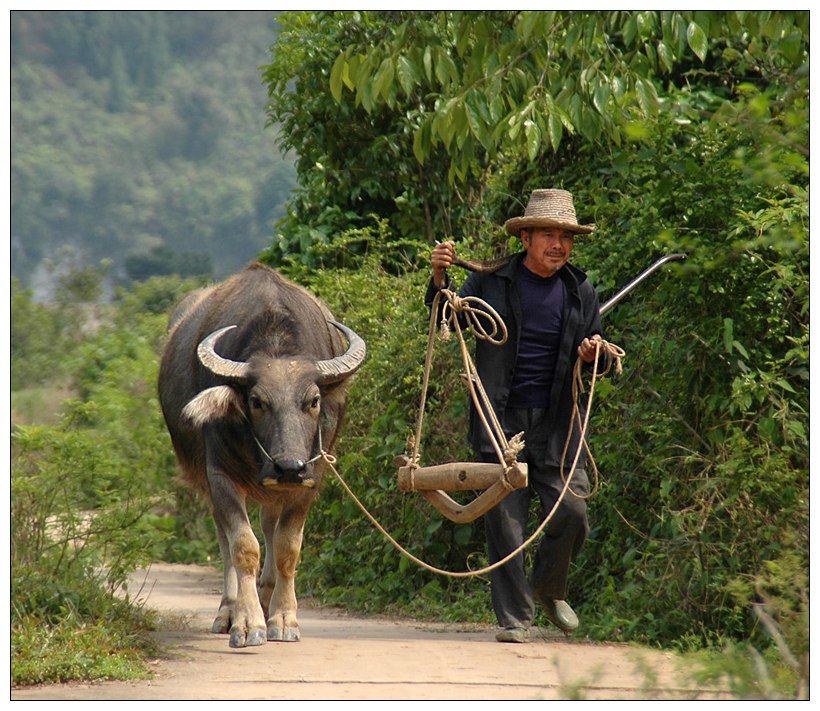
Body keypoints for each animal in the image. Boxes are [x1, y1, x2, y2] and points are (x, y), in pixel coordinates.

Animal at [159, 262, 364, 652]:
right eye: (256, 401)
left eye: (314, 400)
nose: (289, 467)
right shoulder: (219, 476)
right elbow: (243, 547)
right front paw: (247, 623)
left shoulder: (312, 479)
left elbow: (287, 547)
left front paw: (283, 619)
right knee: (226, 540)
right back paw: (229, 611)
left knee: (270, 525)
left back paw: (267, 596)